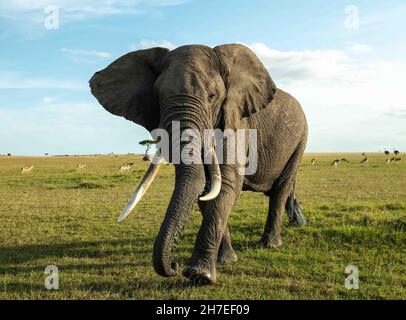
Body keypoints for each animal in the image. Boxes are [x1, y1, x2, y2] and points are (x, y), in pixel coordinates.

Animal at [89, 43, 308, 284]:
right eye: (157, 96)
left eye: (212, 96)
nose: (174, 265)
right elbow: (207, 187)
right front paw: (225, 261)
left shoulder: (236, 121)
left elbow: (225, 185)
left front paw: (200, 276)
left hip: (300, 139)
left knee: (280, 190)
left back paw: (270, 244)